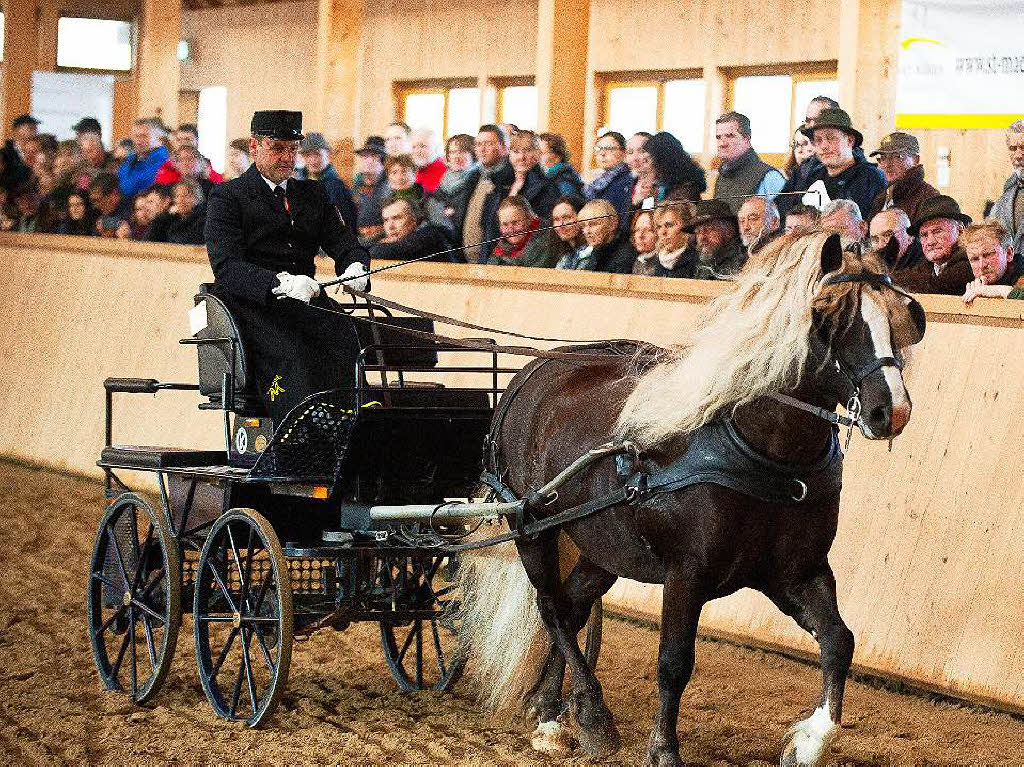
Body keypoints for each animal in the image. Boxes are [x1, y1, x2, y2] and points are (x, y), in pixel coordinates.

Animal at [460, 231, 933, 765]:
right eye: (831, 320)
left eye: (899, 319)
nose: (890, 410)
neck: (762, 451)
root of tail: (532, 372)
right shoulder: (687, 575)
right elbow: (674, 661)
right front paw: (664, 748)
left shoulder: (796, 573)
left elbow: (839, 642)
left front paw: (810, 741)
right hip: (533, 529)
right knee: (554, 609)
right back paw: (593, 716)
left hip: (603, 548)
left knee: (572, 607)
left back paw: (550, 714)